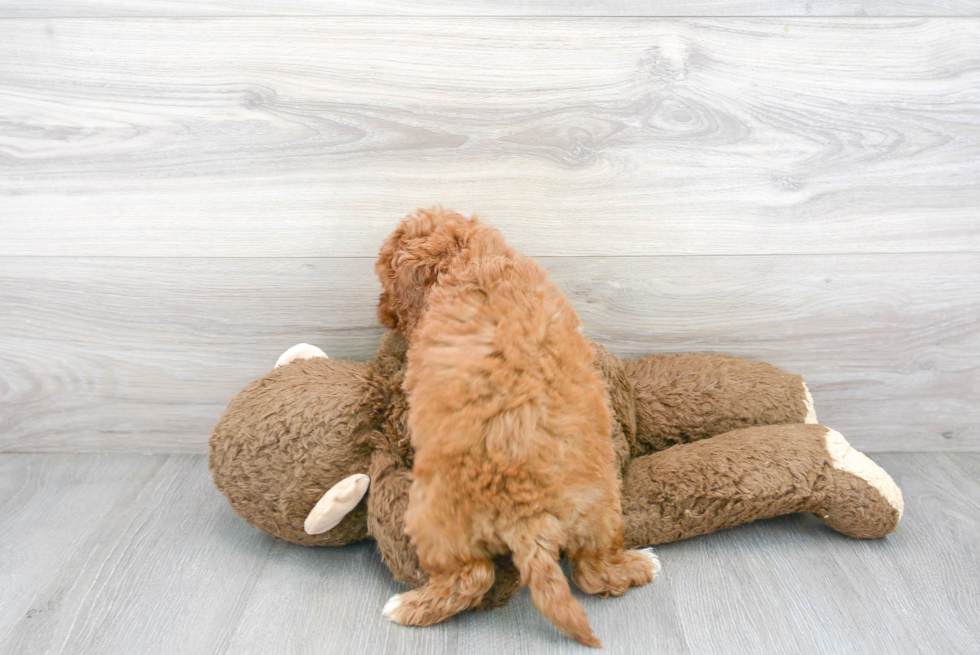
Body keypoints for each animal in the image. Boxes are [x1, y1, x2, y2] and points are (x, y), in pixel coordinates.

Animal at [376, 208, 660, 648]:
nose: (383, 313)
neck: (471, 259)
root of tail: (531, 515)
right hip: (600, 508)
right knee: (593, 572)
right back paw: (640, 564)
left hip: (432, 518)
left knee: (472, 578)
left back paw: (406, 607)